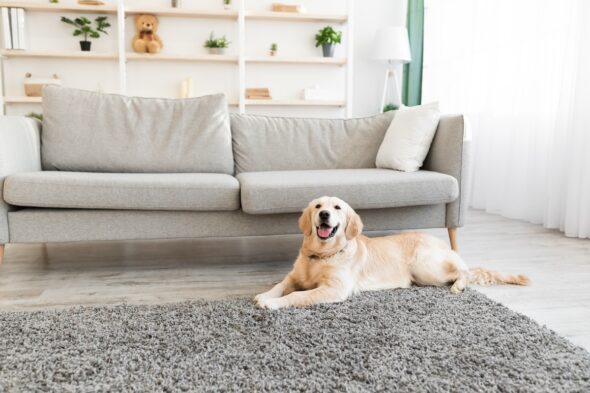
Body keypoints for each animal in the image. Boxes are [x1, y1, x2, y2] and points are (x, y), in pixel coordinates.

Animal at [256, 194, 532, 308]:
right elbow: (281, 285)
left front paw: (272, 304)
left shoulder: (334, 289)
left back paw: (458, 286)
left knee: (464, 272)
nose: (324, 214)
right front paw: (265, 295)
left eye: (337, 208)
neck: (321, 255)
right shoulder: (294, 276)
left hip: (424, 266)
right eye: (317, 206)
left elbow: (297, 296)